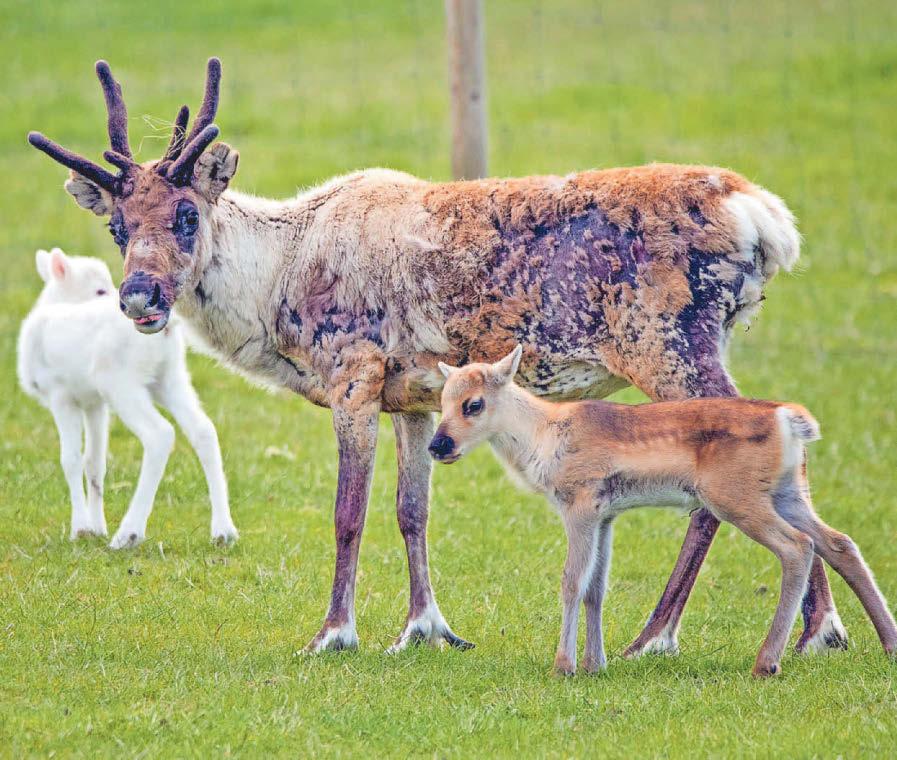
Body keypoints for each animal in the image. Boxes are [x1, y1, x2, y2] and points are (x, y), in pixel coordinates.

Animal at [17, 247, 237, 548]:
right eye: (99, 290)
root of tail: (166, 326)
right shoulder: (94, 403)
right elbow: (94, 461)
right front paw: (97, 528)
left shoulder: (60, 395)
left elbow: (71, 459)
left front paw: (81, 529)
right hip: (169, 378)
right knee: (203, 430)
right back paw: (223, 531)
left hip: (121, 383)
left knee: (160, 434)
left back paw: (129, 533)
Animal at [431, 346, 897, 676]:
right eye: (443, 400)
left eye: (473, 403)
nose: (438, 446)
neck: (542, 434)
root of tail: (788, 417)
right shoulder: (607, 515)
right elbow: (597, 587)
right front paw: (595, 665)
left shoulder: (579, 507)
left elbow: (571, 581)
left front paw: (563, 666)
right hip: (790, 495)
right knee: (839, 543)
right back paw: (890, 644)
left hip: (737, 500)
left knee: (797, 547)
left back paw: (766, 663)